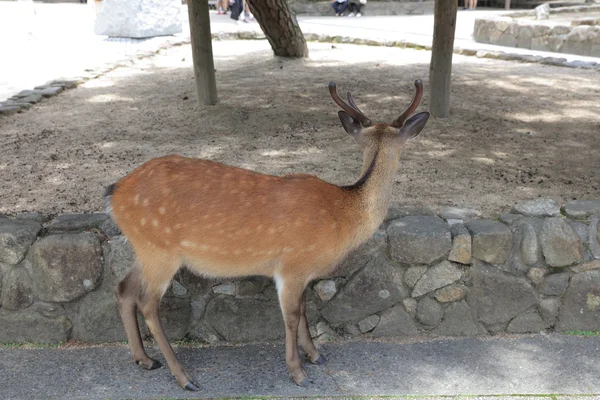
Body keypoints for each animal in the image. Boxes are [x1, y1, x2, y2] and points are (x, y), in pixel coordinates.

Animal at [105, 80, 428, 390]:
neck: (342, 217)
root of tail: (115, 191)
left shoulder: (303, 271)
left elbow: (305, 310)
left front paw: (315, 355)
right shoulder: (292, 264)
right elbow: (292, 316)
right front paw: (298, 373)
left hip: (145, 247)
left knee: (123, 288)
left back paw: (145, 360)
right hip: (161, 251)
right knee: (148, 303)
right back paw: (184, 378)